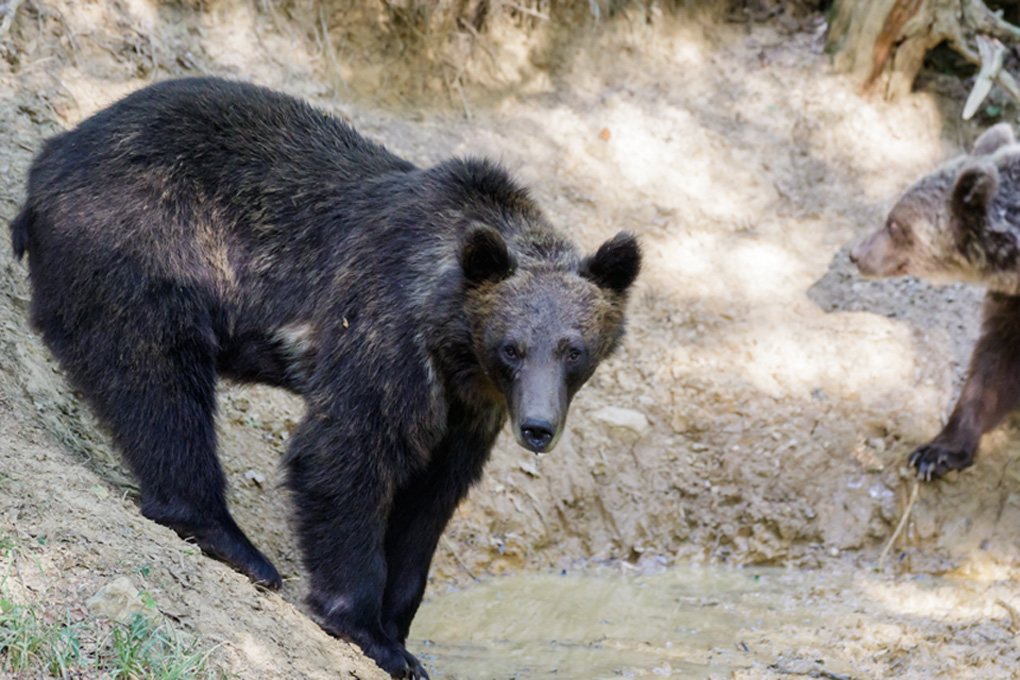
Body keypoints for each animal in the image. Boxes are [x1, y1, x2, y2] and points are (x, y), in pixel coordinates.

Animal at [11, 76, 640, 676]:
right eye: (512, 348)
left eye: (573, 350)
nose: (537, 427)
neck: (452, 340)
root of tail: (50, 157)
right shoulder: (385, 333)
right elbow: (346, 454)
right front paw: (368, 631)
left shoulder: (468, 410)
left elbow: (430, 501)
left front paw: (400, 629)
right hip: (144, 243)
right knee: (157, 381)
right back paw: (234, 542)